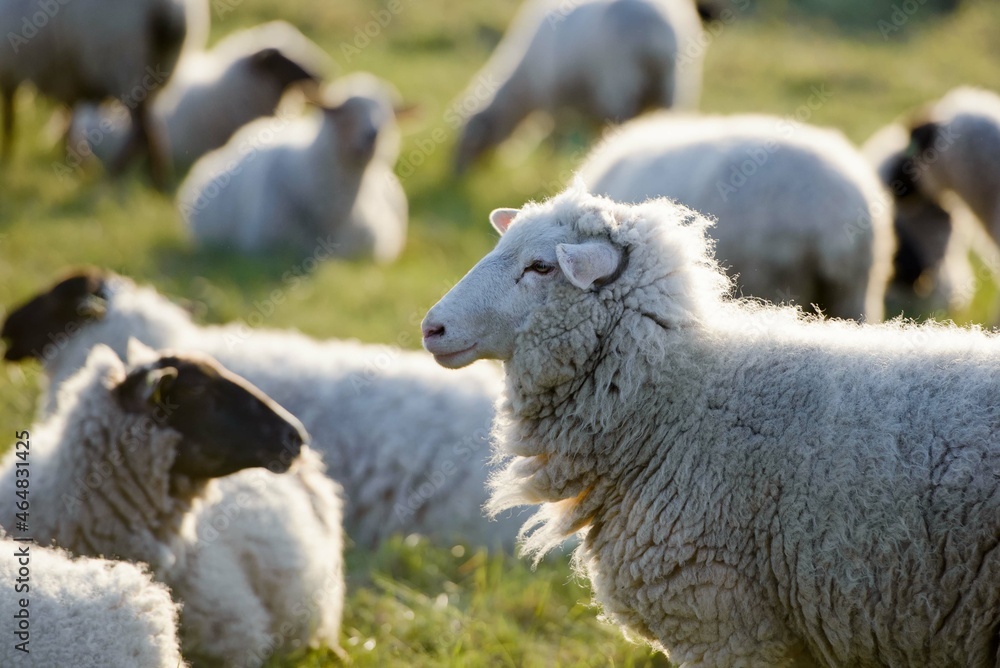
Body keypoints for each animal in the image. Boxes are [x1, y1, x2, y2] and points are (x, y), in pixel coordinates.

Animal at [0, 0, 208, 185]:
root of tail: (169, 8)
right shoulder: (66, 75)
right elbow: (67, 118)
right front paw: (76, 163)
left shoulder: (11, 70)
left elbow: (10, 118)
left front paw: (8, 157)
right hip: (157, 69)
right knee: (153, 126)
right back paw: (157, 180)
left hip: (122, 64)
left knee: (140, 131)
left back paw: (112, 176)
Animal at [453, 0, 705, 173]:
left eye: (469, 140)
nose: (456, 175)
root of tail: (656, 31)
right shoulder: (593, 107)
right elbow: (594, 134)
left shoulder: (554, 101)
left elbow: (555, 138)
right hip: (674, 85)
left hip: (621, 84)